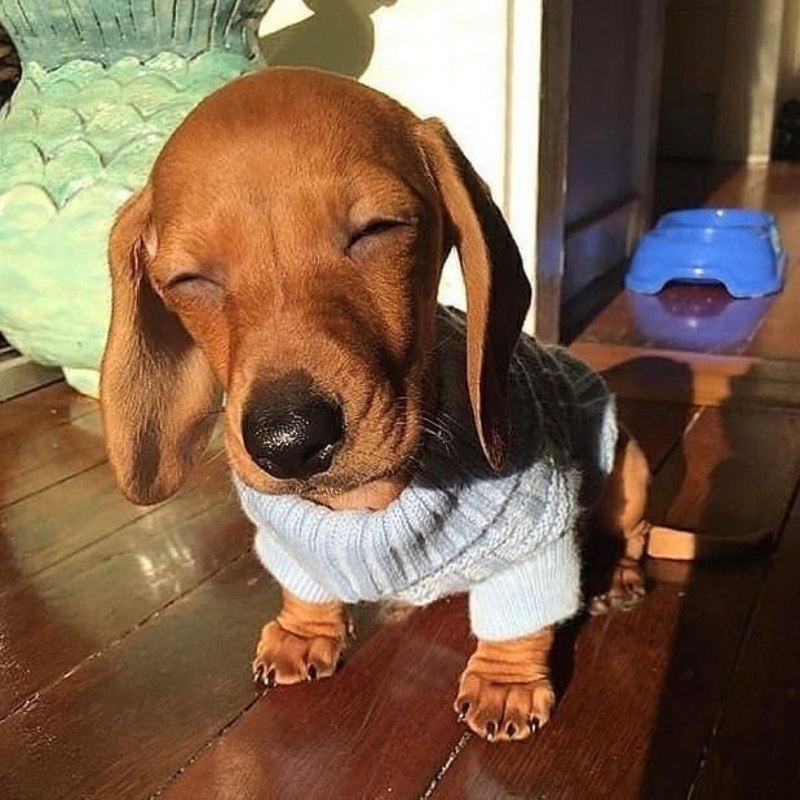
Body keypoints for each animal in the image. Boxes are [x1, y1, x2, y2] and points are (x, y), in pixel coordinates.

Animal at [99, 67, 767, 743]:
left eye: (378, 230)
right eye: (187, 281)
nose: (288, 442)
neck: (369, 504)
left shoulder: (534, 540)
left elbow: (521, 620)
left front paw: (506, 682)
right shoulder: (290, 539)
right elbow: (304, 586)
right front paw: (303, 631)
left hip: (625, 465)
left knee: (634, 530)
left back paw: (619, 577)